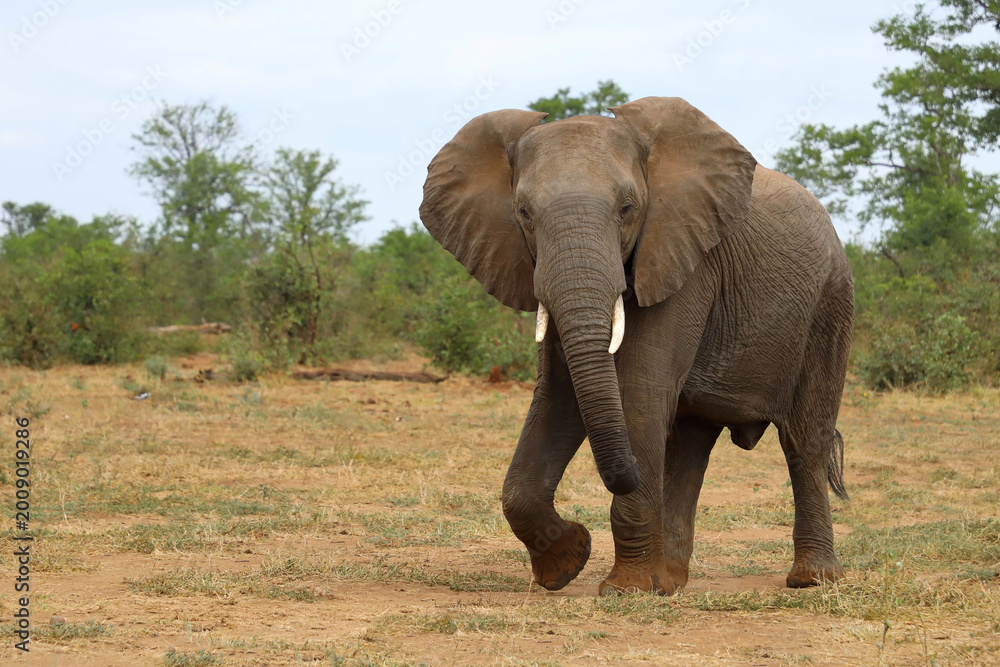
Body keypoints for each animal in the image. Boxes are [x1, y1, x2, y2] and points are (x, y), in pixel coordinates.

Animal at [419, 96, 853, 596]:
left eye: (628, 208)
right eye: (523, 213)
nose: (622, 477)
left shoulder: (683, 259)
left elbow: (640, 392)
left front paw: (625, 589)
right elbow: (560, 399)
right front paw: (569, 563)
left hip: (830, 304)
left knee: (803, 438)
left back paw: (812, 580)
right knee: (690, 444)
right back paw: (671, 582)